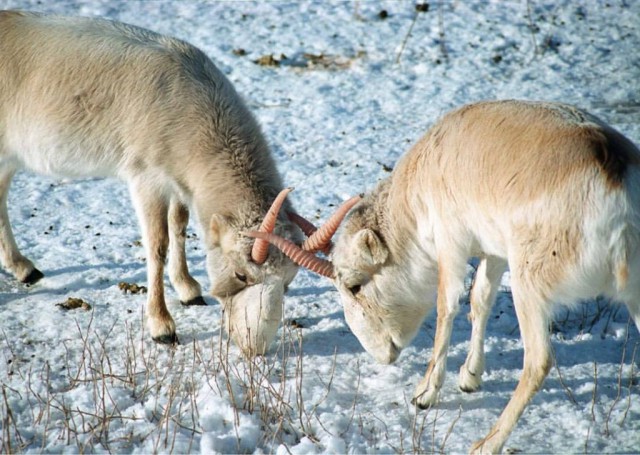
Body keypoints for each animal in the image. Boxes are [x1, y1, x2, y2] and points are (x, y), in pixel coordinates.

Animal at [0, 9, 312, 352]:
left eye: (288, 282)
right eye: (241, 275)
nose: (255, 347)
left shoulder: (176, 181)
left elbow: (179, 225)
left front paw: (188, 289)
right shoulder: (145, 178)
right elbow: (157, 245)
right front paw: (162, 327)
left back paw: (23, 268)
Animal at [251, 100, 640, 455]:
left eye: (353, 286)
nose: (381, 354)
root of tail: (615, 186)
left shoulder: (451, 244)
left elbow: (448, 305)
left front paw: (424, 394)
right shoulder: (493, 253)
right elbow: (480, 301)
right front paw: (469, 378)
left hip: (528, 287)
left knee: (538, 361)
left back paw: (486, 444)